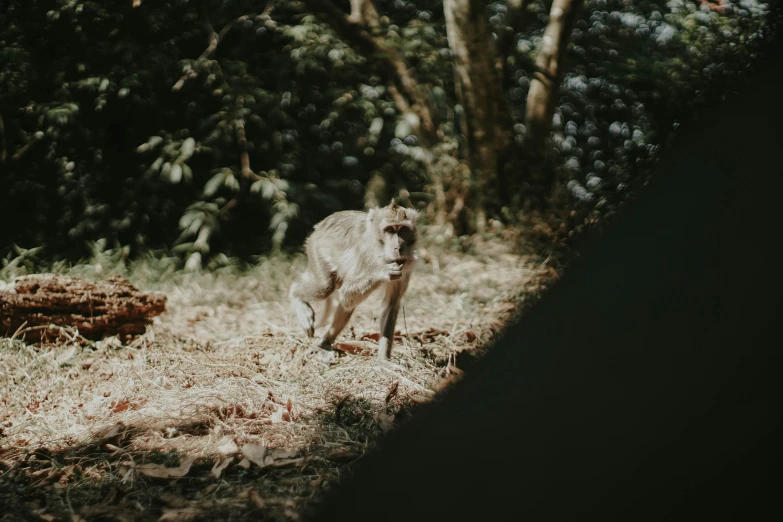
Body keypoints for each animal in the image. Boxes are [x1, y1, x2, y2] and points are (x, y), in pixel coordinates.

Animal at [290, 197, 420, 360]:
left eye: (403, 229)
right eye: (389, 230)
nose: (398, 247)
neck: (380, 248)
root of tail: (319, 226)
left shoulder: (405, 266)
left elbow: (390, 305)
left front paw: (383, 359)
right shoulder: (366, 255)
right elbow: (346, 294)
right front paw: (382, 272)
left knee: (344, 304)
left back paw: (324, 343)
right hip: (316, 249)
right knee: (325, 287)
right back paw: (296, 296)